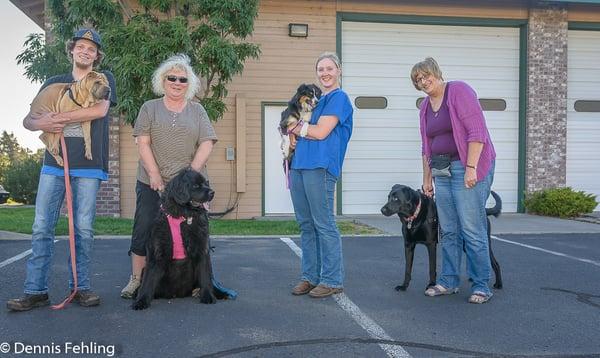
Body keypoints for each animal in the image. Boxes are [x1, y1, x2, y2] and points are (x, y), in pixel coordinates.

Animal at [134, 169, 230, 310]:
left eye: (205, 183)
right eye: (195, 186)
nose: (212, 192)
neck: (182, 217)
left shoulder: (202, 250)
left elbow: (205, 276)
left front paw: (208, 296)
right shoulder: (156, 252)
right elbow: (148, 280)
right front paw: (141, 300)